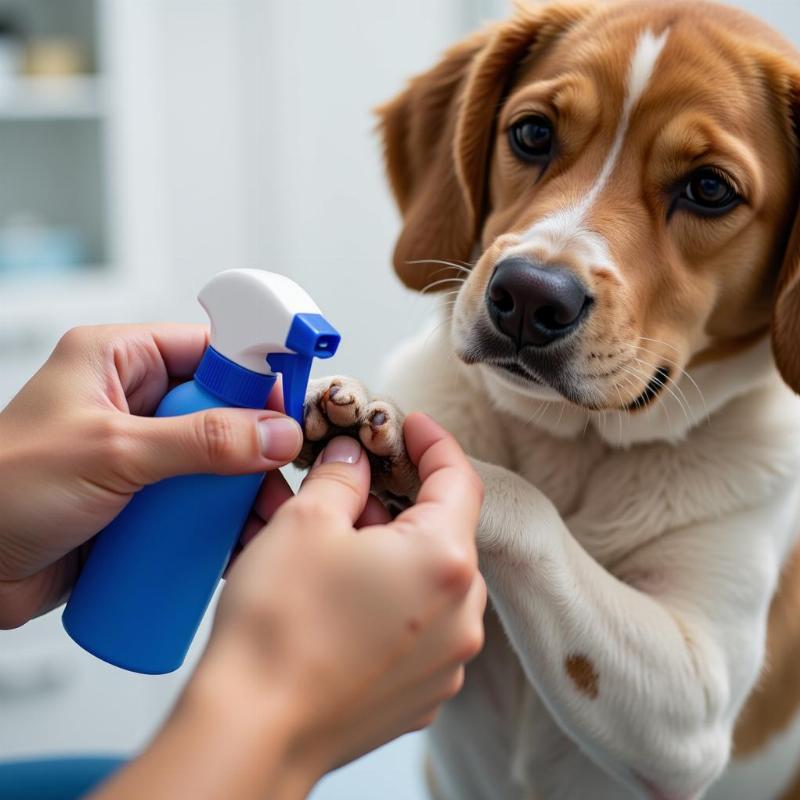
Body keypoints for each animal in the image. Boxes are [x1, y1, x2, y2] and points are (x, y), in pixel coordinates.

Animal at [298, 1, 800, 800]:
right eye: (532, 133)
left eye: (710, 189)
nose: (530, 296)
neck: (573, 443)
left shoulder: (693, 701)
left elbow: (525, 509)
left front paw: (406, 442)